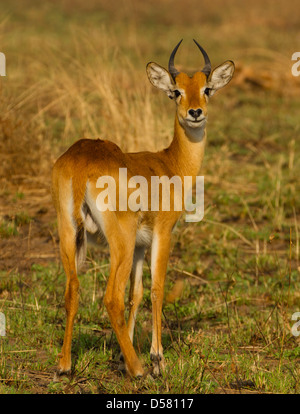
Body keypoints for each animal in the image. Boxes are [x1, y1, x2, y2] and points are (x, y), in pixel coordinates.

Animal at [51, 39, 234, 378]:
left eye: (207, 89)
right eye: (176, 91)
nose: (195, 112)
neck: (170, 164)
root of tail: (81, 161)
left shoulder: (139, 245)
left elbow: (135, 295)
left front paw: (123, 355)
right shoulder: (162, 233)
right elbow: (156, 289)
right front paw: (156, 358)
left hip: (69, 232)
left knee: (73, 290)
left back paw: (65, 365)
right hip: (118, 240)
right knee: (110, 297)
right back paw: (139, 370)